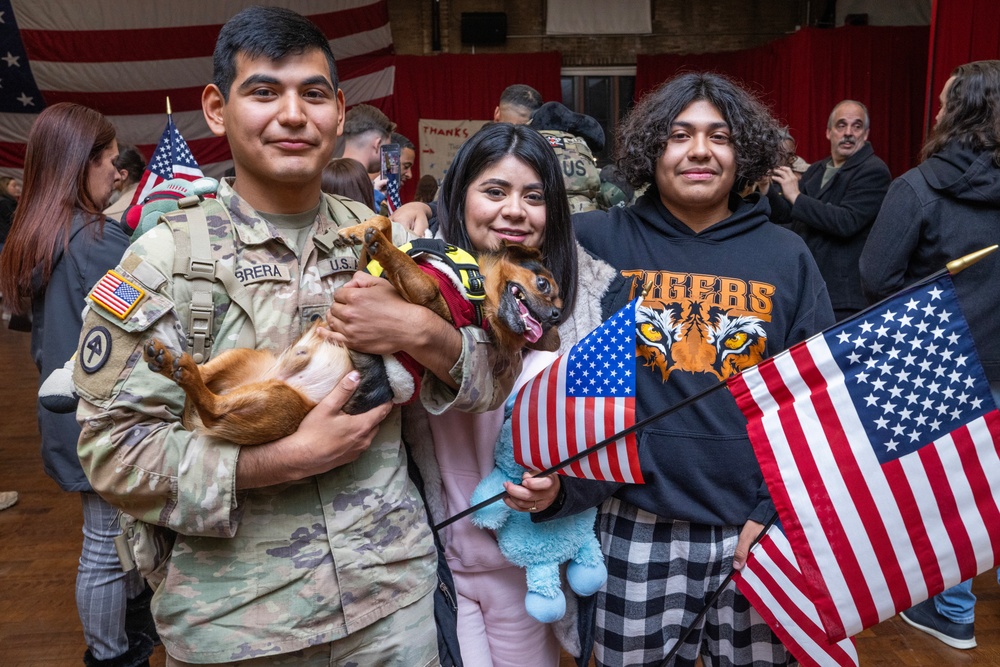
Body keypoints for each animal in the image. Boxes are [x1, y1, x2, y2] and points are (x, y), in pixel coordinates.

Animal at [143, 219, 564, 446]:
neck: (471, 281)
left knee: (213, 408)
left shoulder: (427, 296)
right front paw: (358, 231)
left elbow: (397, 258)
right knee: (206, 378)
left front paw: (383, 245)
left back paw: (182, 373)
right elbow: (384, 223)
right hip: (243, 358)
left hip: (277, 402)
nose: (557, 315)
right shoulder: (364, 274)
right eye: (544, 285)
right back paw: (168, 359)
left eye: (555, 308)